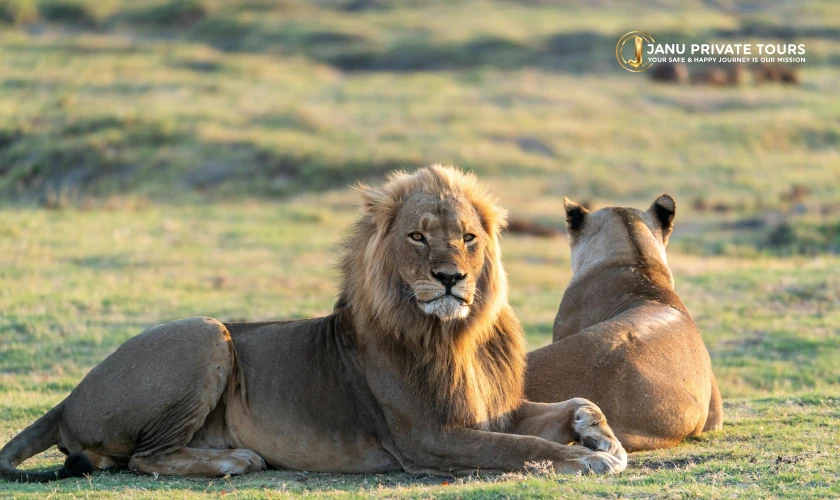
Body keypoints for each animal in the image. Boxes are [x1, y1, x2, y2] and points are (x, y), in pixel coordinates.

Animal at [1, 165, 626, 482]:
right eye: (417, 236)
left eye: (469, 237)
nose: (450, 277)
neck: (457, 335)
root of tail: (69, 396)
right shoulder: (430, 438)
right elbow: (519, 449)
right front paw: (585, 457)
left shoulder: (494, 409)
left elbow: (575, 403)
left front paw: (603, 437)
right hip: (206, 334)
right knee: (143, 458)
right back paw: (235, 459)